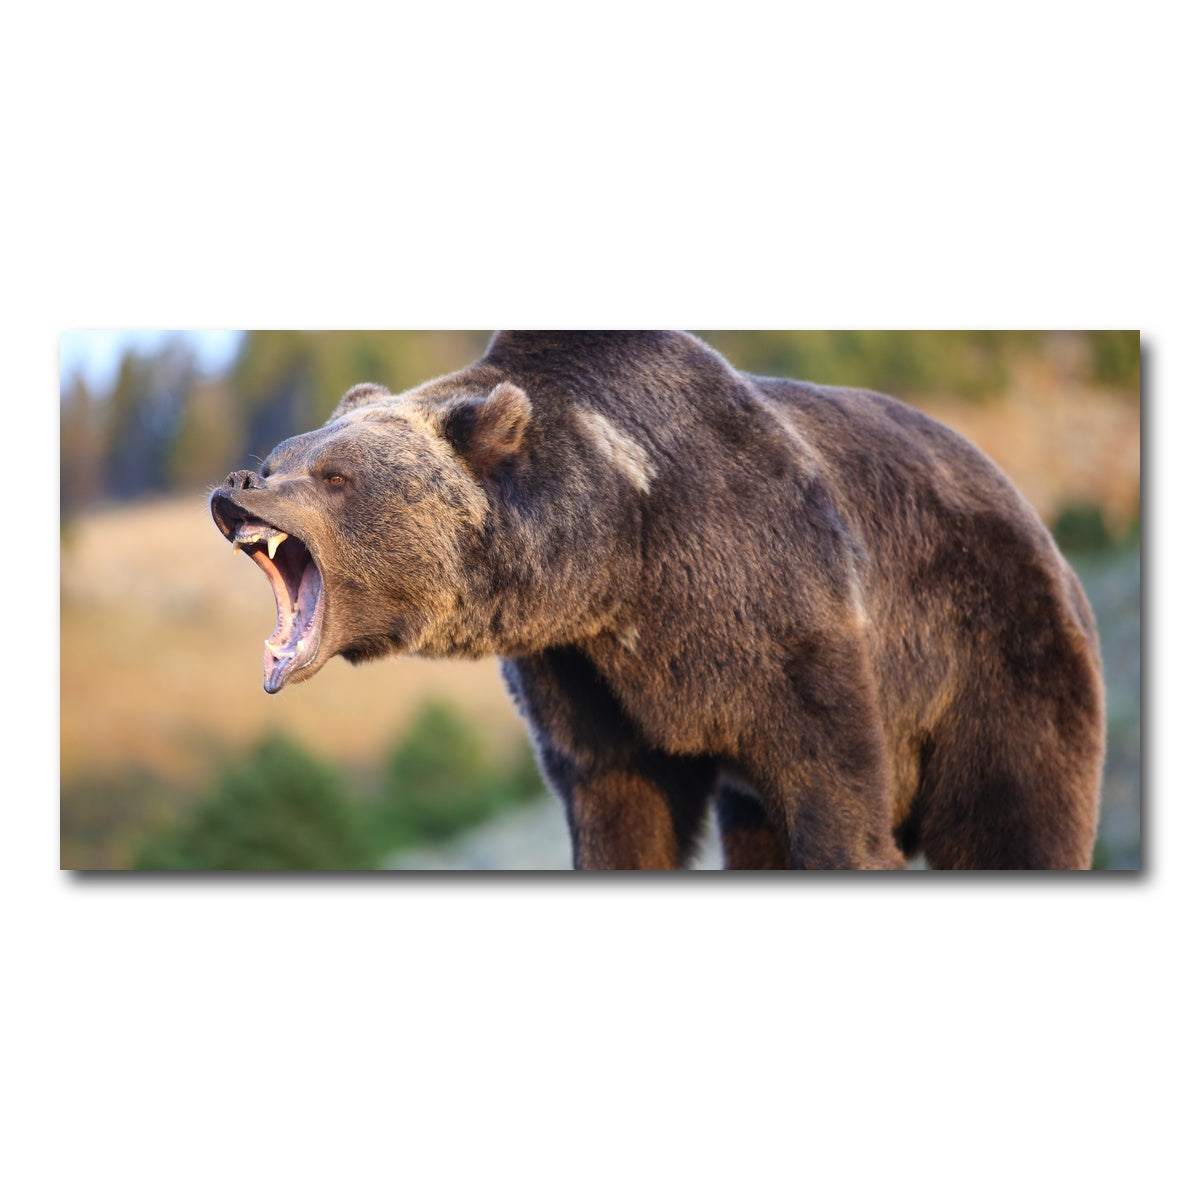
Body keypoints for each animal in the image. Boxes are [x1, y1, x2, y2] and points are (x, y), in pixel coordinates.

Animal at [210, 331, 1105, 870]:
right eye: (284, 455)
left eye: (334, 476)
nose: (238, 484)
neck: (619, 561)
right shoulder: (582, 677)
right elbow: (620, 808)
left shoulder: (786, 611)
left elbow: (836, 793)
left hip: (995, 655)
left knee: (1015, 814)